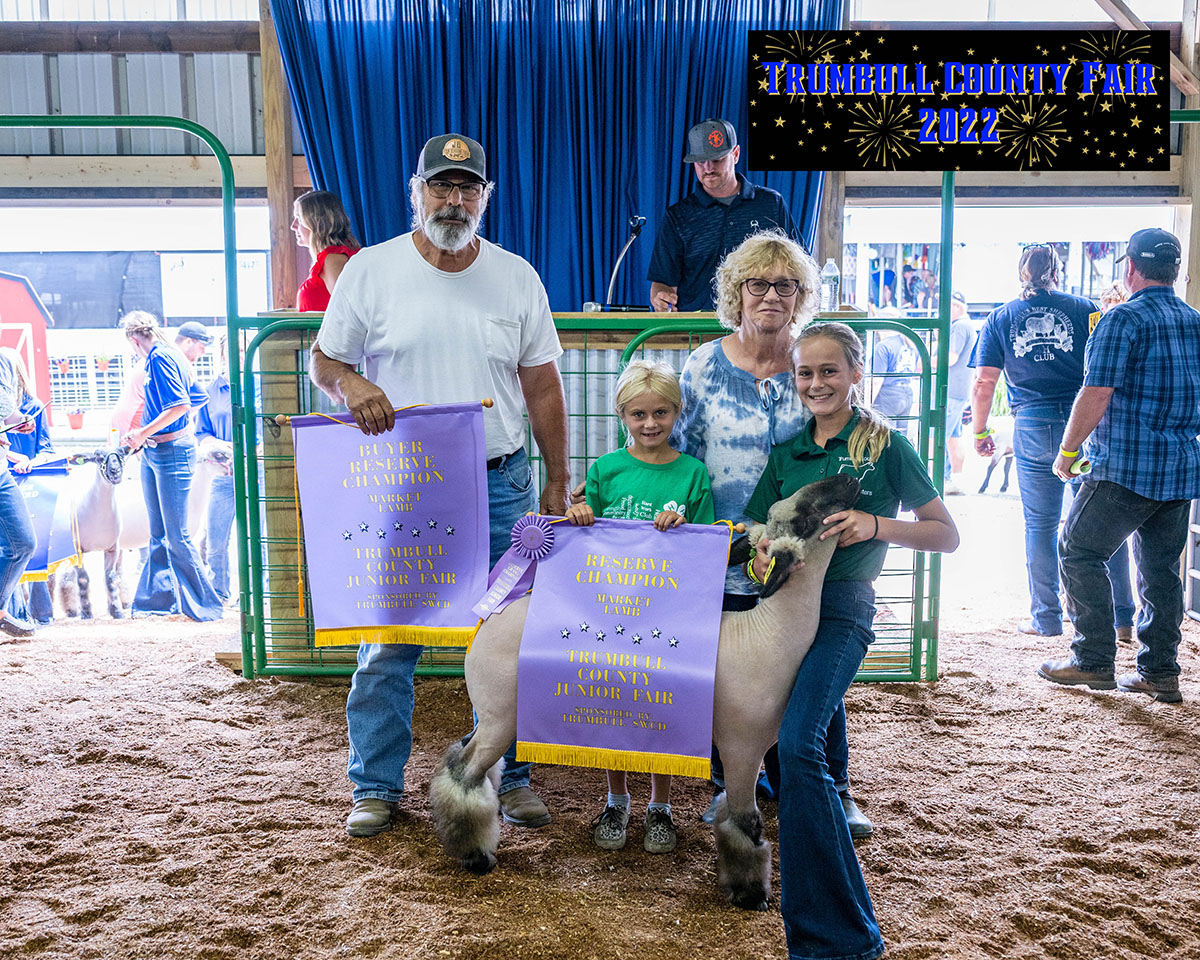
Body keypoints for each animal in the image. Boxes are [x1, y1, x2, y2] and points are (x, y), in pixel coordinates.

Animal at [429, 475, 862, 911]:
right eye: (804, 517)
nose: (850, 479)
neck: (769, 635)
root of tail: (490, 616)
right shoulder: (743, 747)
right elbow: (746, 824)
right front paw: (750, 893)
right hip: (501, 715)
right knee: (466, 771)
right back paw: (475, 856)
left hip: (495, 714)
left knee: (463, 759)